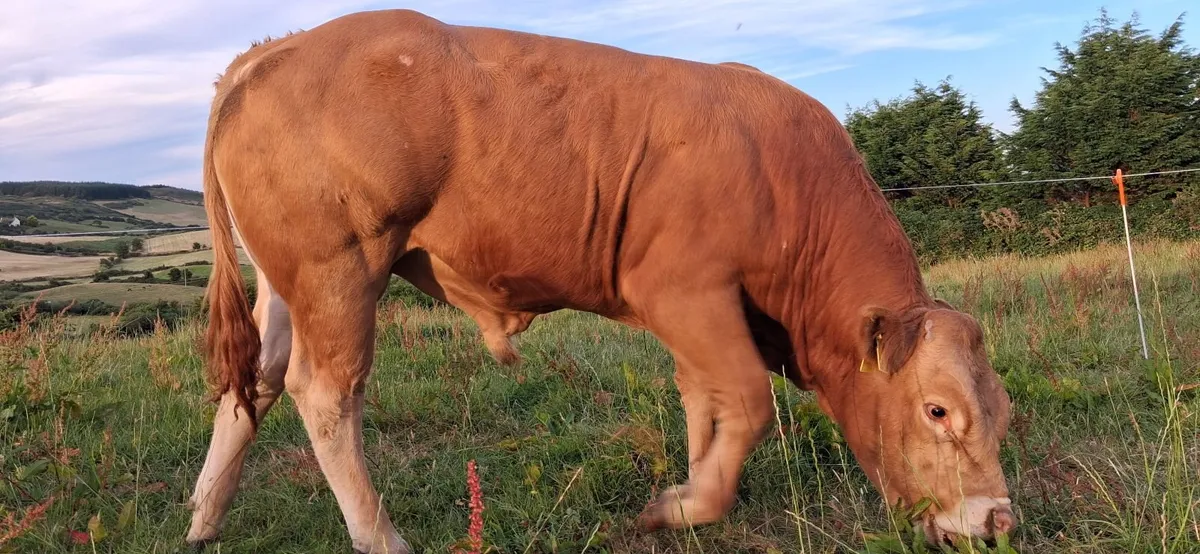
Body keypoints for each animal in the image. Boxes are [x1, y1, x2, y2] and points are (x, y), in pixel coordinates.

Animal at [186, 9, 1016, 553]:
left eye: (1002, 411)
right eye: (938, 411)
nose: (998, 521)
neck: (781, 173)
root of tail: (276, 48)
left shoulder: (703, 313)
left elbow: (706, 402)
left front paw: (691, 491)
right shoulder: (684, 289)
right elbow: (747, 400)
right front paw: (682, 508)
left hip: (287, 280)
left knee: (257, 381)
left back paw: (204, 518)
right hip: (341, 267)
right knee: (324, 392)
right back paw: (379, 536)